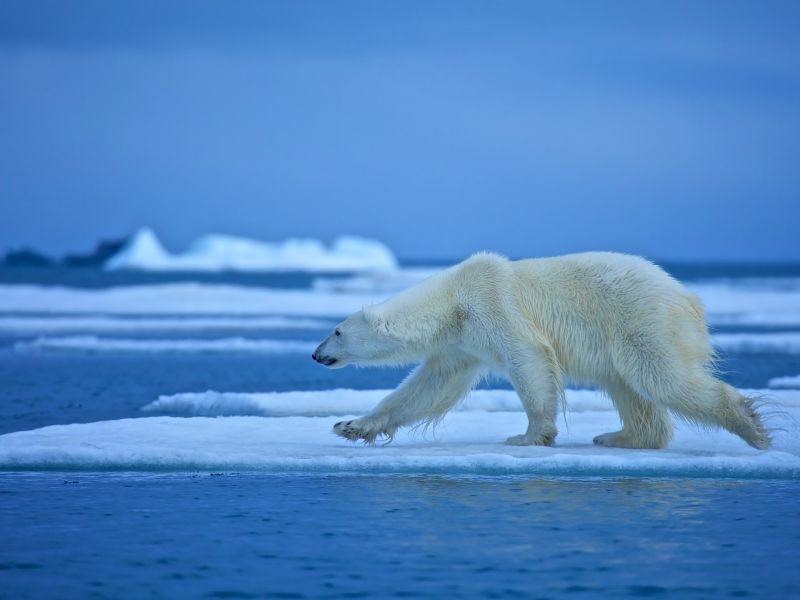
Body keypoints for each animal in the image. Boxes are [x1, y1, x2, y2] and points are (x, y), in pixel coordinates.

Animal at [310, 251, 768, 448]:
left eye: (336, 330)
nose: (315, 354)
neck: (453, 300)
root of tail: (688, 297)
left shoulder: (492, 304)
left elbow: (527, 359)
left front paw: (529, 435)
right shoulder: (462, 343)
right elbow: (429, 387)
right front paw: (351, 426)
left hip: (641, 320)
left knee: (660, 376)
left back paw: (751, 426)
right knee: (628, 387)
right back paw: (618, 436)